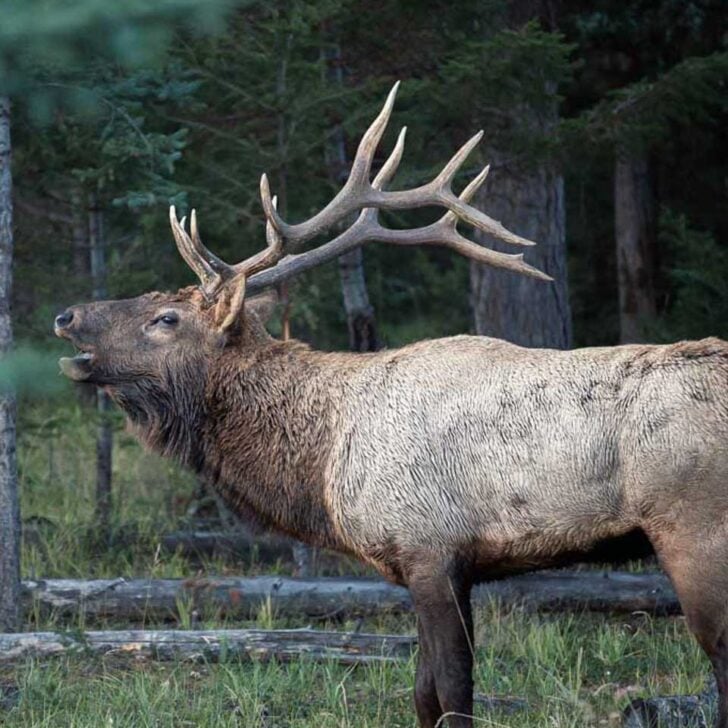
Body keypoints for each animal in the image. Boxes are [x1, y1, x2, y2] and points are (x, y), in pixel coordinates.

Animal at [54, 83, 728, 728]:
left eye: (166, 318)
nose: (67, 315)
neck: (321, 465)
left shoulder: (430, 549)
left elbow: (451, 694)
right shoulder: (435, 566)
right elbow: (423, 695)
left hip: (695, 531)